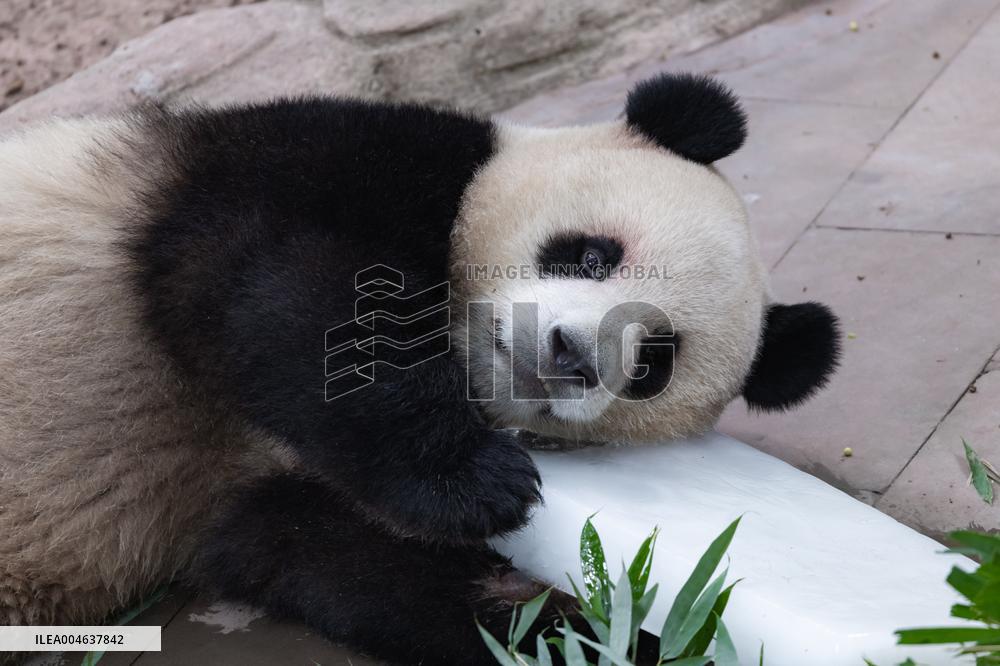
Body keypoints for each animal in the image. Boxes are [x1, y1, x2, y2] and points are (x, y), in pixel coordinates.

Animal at [0, 73, 839, 664]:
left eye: (653, 366)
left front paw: (617, 624)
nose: (567, 356)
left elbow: (335, 561)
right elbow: (277, 276)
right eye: (593, 254)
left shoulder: (246, 494)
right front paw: (475, 476)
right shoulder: (325, 155)